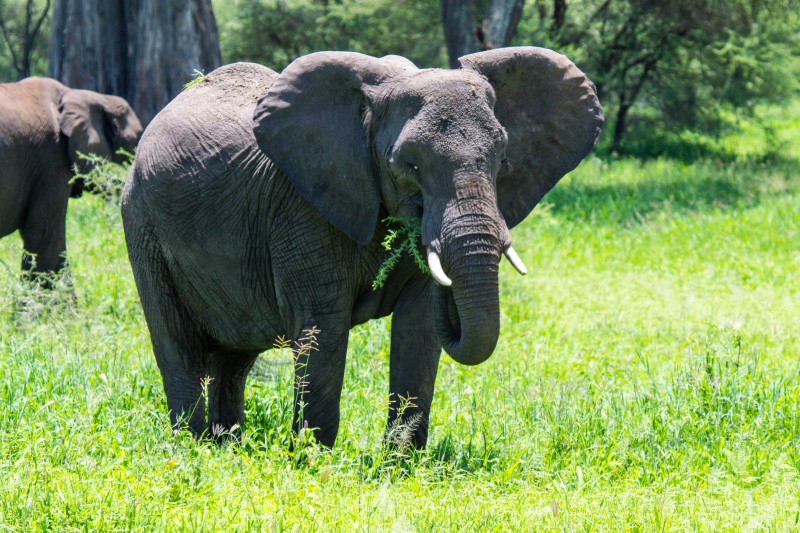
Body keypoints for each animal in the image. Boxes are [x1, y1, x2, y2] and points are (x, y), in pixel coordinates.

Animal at [122, 47, 604, 446]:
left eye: (502, 159)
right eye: (408, 164)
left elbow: (417, 330)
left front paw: (400, 467)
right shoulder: (303, 206)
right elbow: (324, 328)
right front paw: (313, 463)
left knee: (234, 355)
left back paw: (229, 449)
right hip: (142, 223)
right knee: (178, 345)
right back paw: (194, 450)